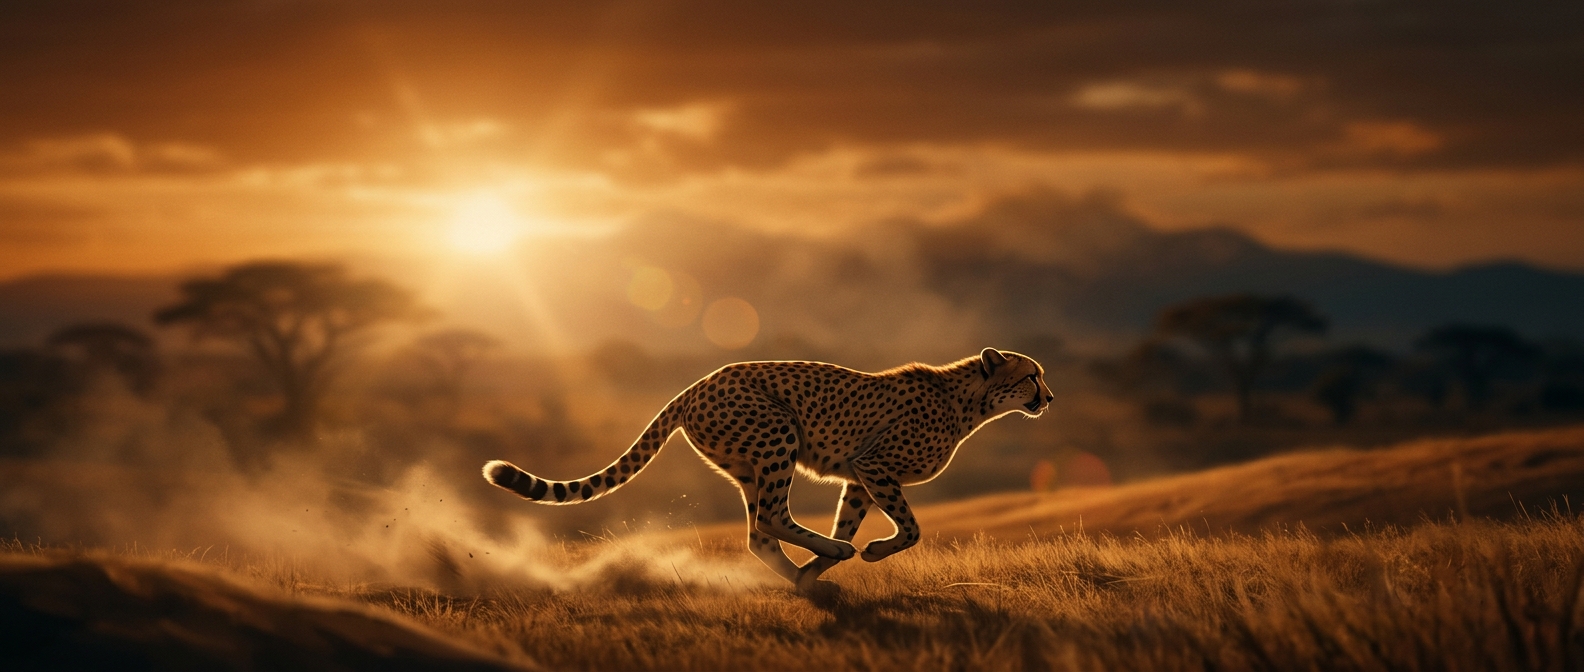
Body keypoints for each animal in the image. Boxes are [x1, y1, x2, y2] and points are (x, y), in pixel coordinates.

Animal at [482, 347, 1052, 591]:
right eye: (1031, 376)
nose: (1049, 398)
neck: (970, 402)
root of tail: (698, 382)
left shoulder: (859, 476)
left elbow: (852, 520)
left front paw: (811, 575)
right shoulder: (874, 465)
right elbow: (911, 529)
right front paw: (862, 553)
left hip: (747, 466)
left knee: (759, 532)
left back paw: (804, 568)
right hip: (778, 435)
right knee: (773, 517)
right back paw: (833, 553)